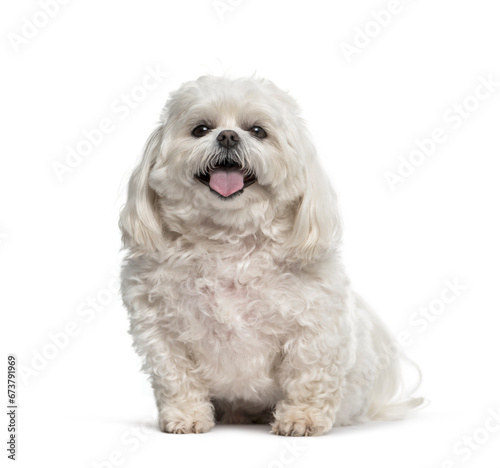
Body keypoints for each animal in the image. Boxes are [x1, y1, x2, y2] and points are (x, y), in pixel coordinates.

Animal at [120, 74, 422, 436]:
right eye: (201, 129)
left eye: (258, 131)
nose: (227, 136)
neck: (228, 241)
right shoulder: (160, 332)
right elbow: (175, 376)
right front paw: (186, 416)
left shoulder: (315, 330)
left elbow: (308, 376)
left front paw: (301, 419)